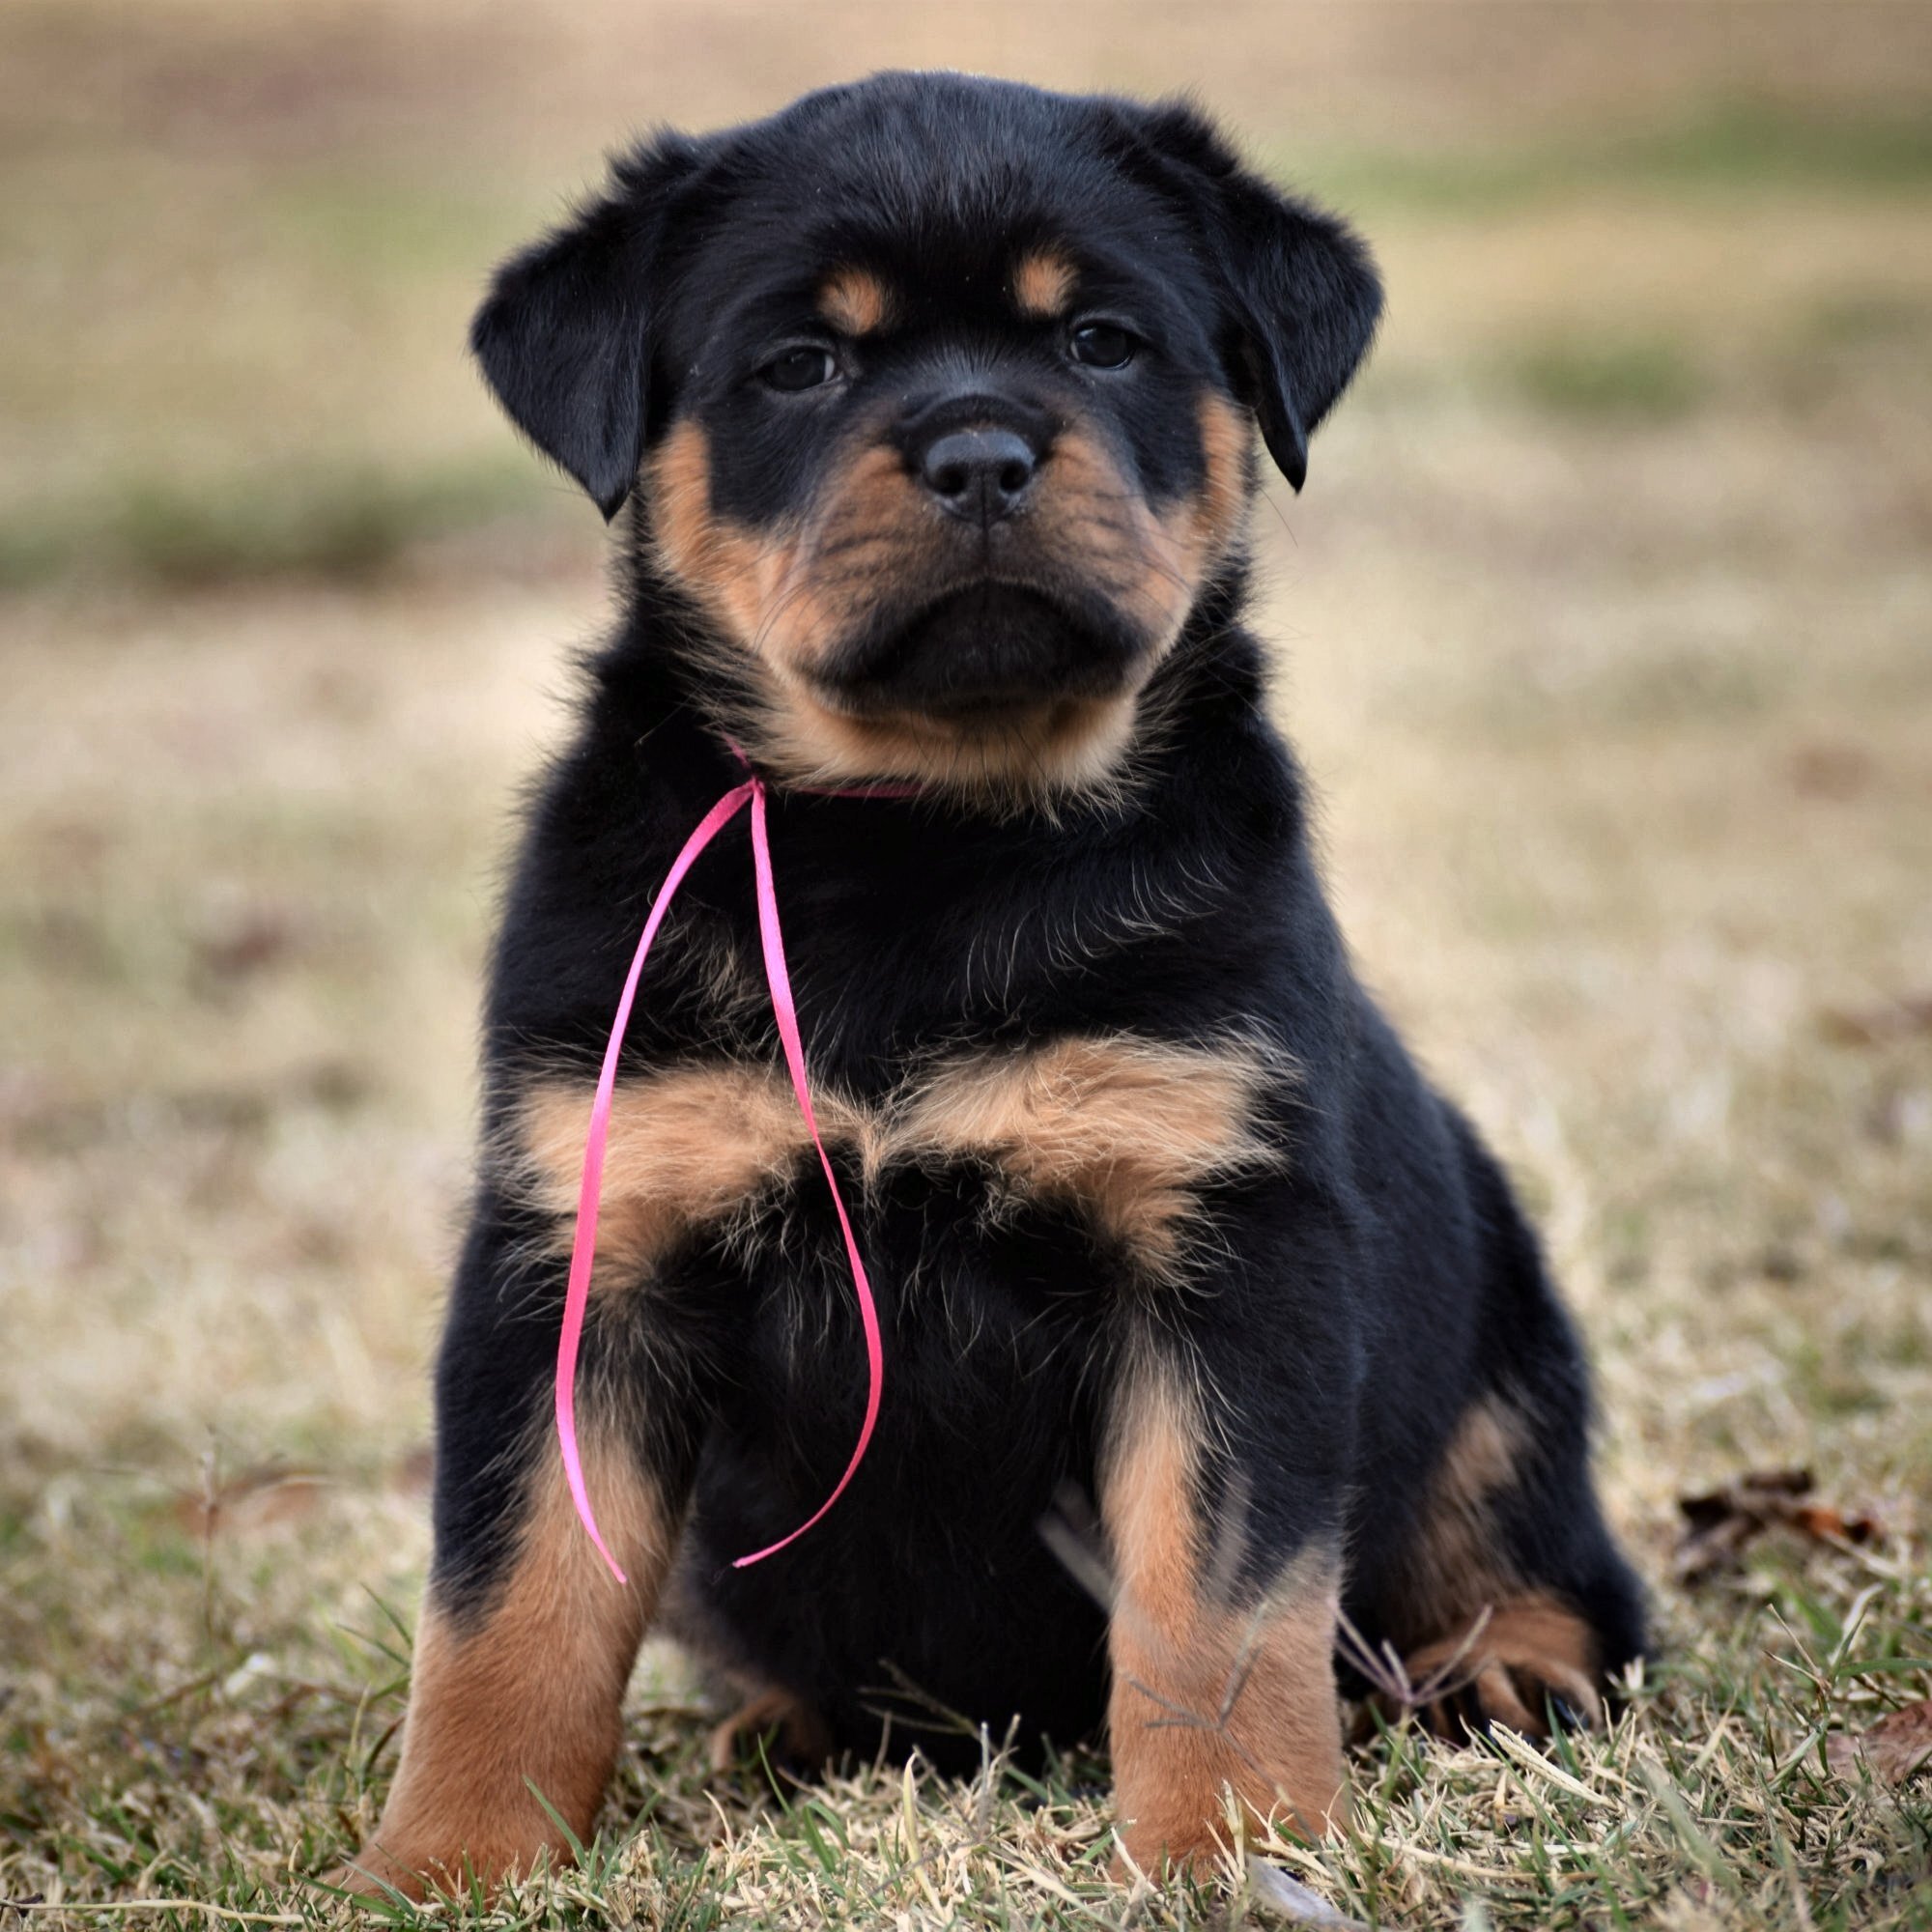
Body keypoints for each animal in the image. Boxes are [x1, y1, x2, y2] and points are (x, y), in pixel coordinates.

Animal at [336, 71, 1646, 1901]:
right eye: (801, 364)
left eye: (1100, 339)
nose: (977, 452)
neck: (917, 842)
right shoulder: (579, 1242)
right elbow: (508, 1607)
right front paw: (447, 1865)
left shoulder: (1224, 1248)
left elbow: (1218, 1611)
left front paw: (1227, 1845)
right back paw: (781, 1732)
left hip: (1500, 1341)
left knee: (1542, 1557)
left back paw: (1513, 1677)